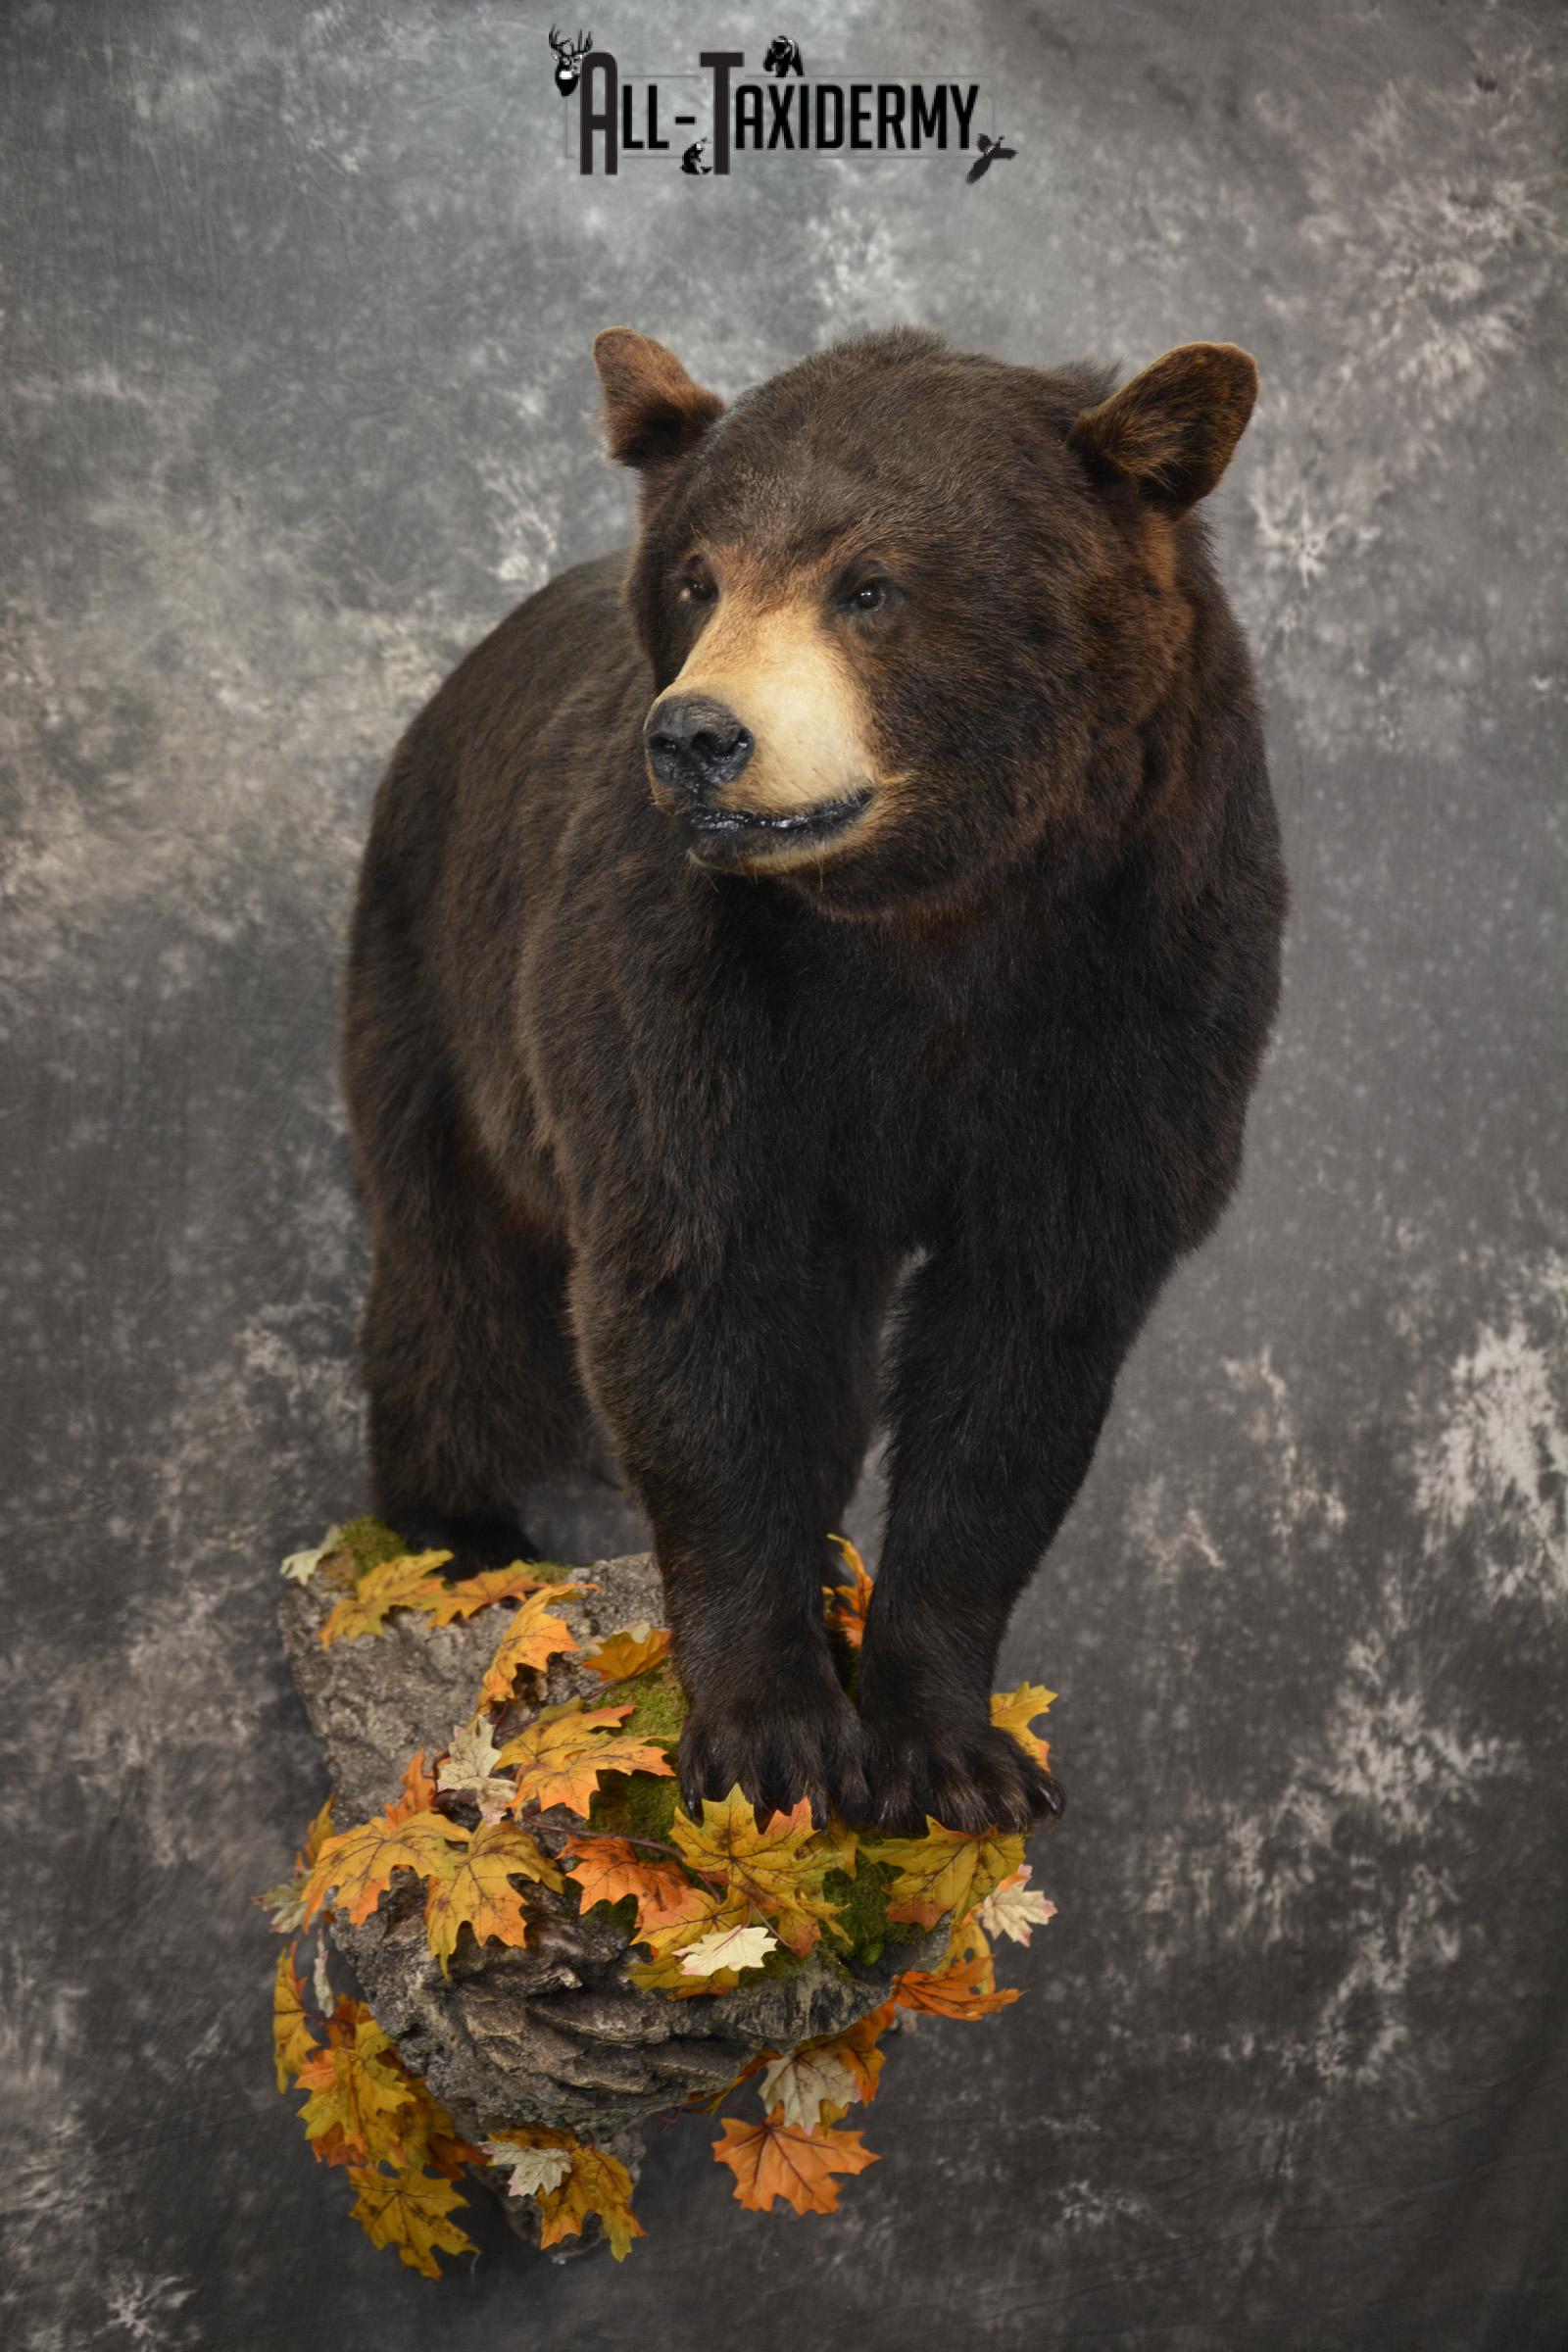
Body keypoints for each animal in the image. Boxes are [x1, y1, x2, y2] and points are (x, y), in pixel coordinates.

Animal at [340, 325, 1286, 1837]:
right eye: (698, 577)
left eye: (872, 585)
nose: (698, 738)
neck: (928, 919)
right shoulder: (690, 995)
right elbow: (696, 1304)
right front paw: (773, 1732)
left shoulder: (1143, 994)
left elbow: (1022, 1358)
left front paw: (948, 1751)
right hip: (434, 974)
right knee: (453, 1262)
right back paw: (452, 1536)